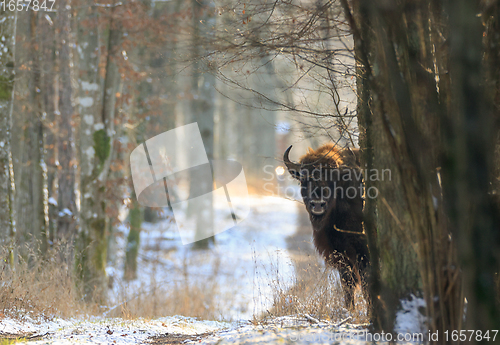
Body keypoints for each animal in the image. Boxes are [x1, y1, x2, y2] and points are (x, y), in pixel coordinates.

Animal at [284, 142, 370, 306]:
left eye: (333, 178)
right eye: (304, 178)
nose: (317, 205)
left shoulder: (362, 251)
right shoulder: (340, 253)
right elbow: (348, 285)